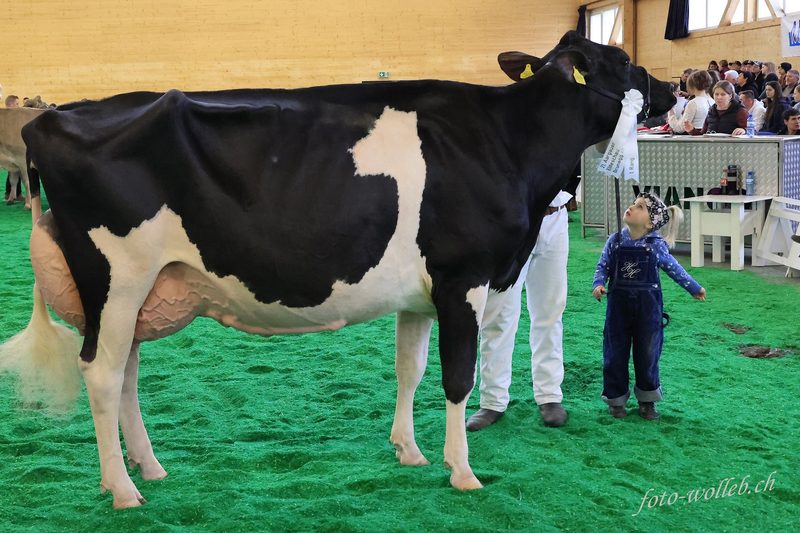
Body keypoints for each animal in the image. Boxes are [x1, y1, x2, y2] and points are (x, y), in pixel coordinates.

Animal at [0, 31, 673, 509]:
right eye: (620, 58)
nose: (667, 89)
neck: (507, 143)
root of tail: (48, 119)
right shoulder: (463, 280)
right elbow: (457, 378)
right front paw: (461, 471)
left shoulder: (420, 295)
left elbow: (409, 369)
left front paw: (409, 451)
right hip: (116, 277)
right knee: (103, 374)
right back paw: (124, 491)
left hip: (141, 289)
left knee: (127, 374)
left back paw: (150, 468)